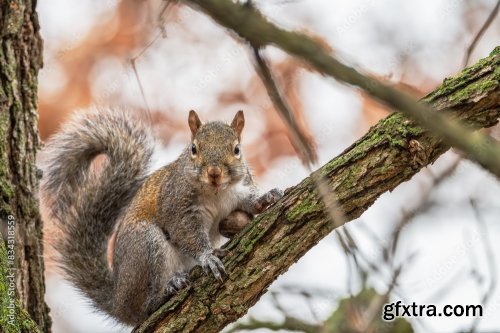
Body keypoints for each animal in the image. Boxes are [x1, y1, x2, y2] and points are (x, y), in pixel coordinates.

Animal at [41, 108, 284, 324]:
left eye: (236, 149)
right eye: (194, 148)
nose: (214, 172)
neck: (216, 192)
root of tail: (118, 301)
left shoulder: (240, 192)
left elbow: (251, 201)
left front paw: (268, 197)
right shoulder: (176, 206)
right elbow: (186, 234)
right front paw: (208, 257)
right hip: (145, 245)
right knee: (142, 308)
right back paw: (165, 290)